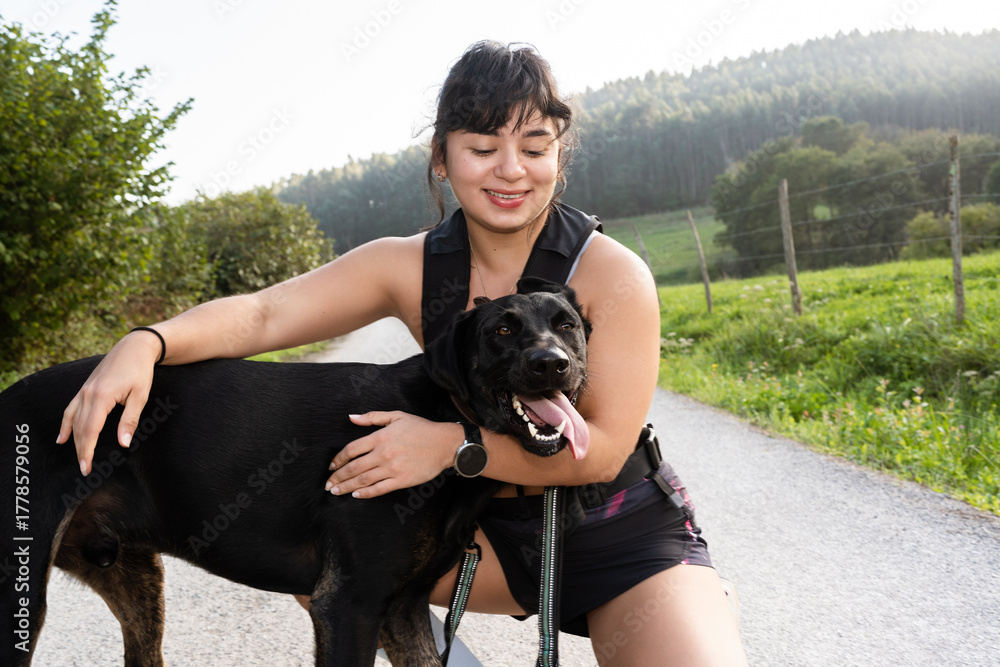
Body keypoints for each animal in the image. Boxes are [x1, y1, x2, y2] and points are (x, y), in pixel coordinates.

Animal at [0, 277, 590, 667]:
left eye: (566, 326)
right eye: (502, 330)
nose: (551, 364)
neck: (446, 414)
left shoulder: (403, 609)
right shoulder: (349, 604)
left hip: (137, 584)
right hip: (22, 599)